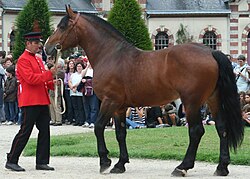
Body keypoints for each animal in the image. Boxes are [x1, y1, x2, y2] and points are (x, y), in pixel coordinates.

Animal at [45, 5, 244, 176]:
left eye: (62, 26)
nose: (47, 48)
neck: (110, 55)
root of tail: (210, 52)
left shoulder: (109, 101)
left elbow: (99, 127)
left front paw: (104, 161)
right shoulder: (119, 107)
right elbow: (120, 133)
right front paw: (120, 164)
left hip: (192, 102)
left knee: (196, 131)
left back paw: (182, 167)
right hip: (213, 99)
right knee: (221, 128)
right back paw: (222, 167)